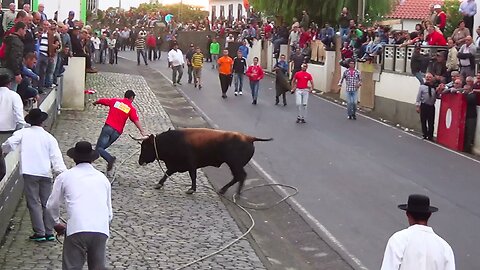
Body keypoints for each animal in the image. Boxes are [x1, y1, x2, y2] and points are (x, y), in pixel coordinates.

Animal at [135, 128, 272, 194]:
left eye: (145, 147)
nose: (140, 161)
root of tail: (249, 138)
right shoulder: (175, 165)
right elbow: (167, 173)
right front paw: (159, 184)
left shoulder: (191, 164)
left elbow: (193, 176)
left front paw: (191, 189)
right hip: (234, 165)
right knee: (238, 177)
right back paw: (224, 191)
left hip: (234, 164)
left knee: (241, 176)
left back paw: (234, 193)